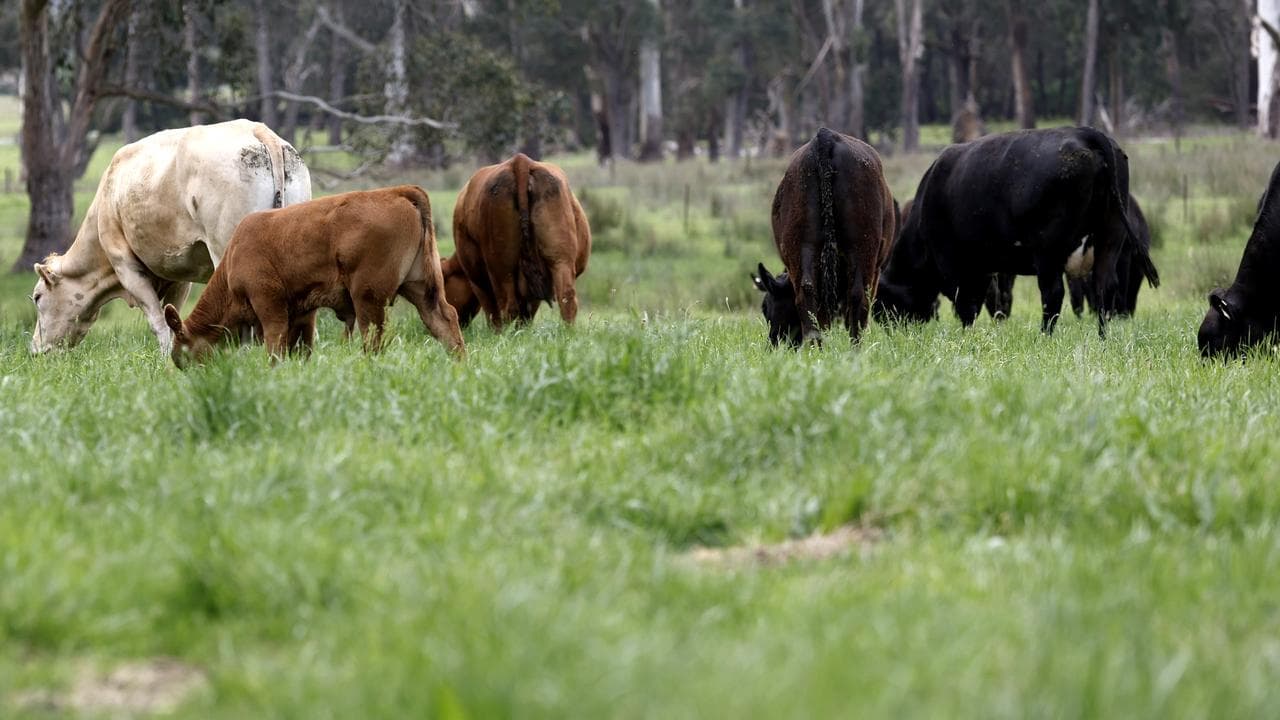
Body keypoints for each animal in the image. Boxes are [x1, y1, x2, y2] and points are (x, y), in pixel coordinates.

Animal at [30, 120, 311, 354]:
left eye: (37, 297)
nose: (34, 350)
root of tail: (257, 129)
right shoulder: (179, 274)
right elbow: (171, 315)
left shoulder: (125, 266)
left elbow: (157, 321)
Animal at [162, 186, 464, 366]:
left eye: (183, 358)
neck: (234, 257)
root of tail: (397, 192)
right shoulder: (303, 313)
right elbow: (301, 348)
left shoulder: (269, 305)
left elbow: (275, 345)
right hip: (420, 286)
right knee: (444, 318)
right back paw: (459, 363)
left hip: (368, 297)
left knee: (373, 336)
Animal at [451, 154, 591, 329]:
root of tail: (521, 161)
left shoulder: (477, 282)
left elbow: (492, 313)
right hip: (560, 259)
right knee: (567, 298)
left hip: (501, 269)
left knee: (508, 307)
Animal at [751, 127, 896, 347]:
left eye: (765, 308)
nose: (773, 343)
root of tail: (826, 136)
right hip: (862, 246)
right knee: (857, 295)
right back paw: (854, 347)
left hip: (803, 241)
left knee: (808, 290)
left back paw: (816, 345)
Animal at [874, 127, 1140, 337]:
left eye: (883, 302)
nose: (889, 330)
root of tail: (1084, 133)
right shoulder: (981, 269)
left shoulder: (956, 267)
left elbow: (965, 306)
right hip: (1110, 240)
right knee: (1105, 288)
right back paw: (1102, 337)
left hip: (1048, 253)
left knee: (1052, 295)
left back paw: (1044, 336)